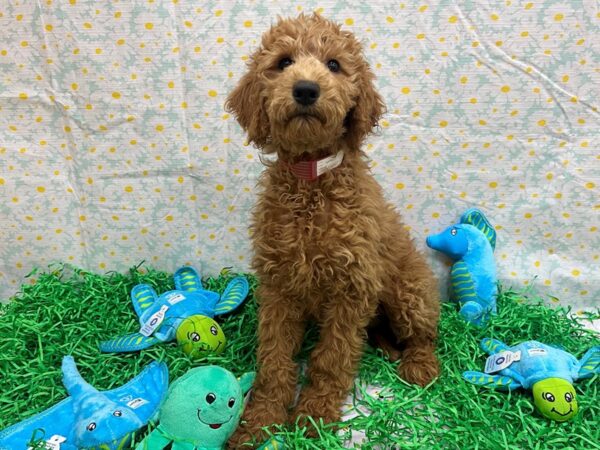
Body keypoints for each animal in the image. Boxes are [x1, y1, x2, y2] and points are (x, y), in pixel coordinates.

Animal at [225, 13, 440, 446]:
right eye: (283, 63)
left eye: (335, 65)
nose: (306, 89)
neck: (312, 181)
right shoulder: (279, 287)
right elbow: (273, 359)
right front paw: (261, 420)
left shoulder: (351, 289)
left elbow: (331, 358)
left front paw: (314, 416)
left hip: (409, 292)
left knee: (425, 335)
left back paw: (419, 364)